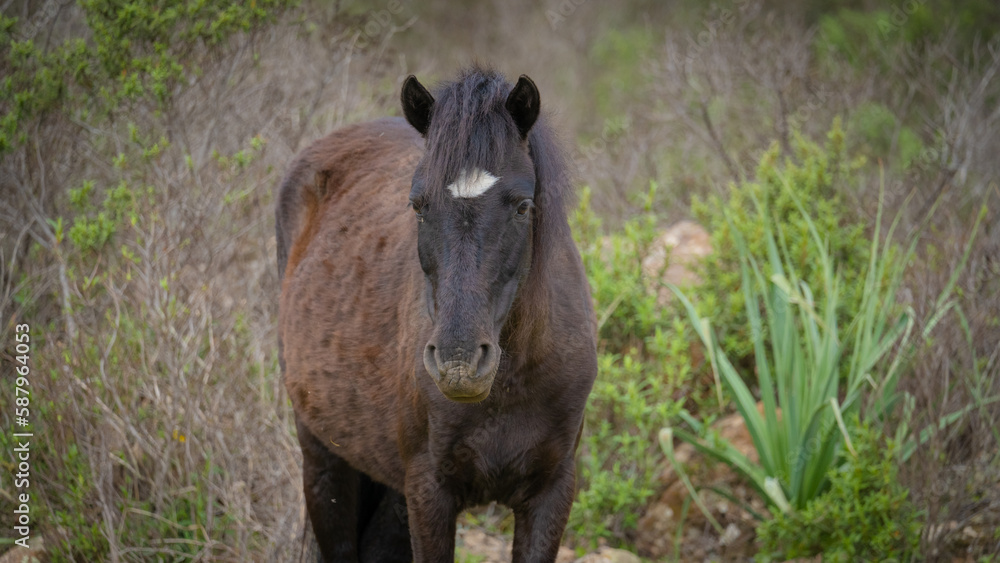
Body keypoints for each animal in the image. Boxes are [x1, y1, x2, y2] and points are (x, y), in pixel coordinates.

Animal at [275, 66, 597, 562]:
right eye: (419, 205)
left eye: (523, 206)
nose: (458, 363)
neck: (513, 380)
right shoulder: (429, 491)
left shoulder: (552, 492)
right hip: (324, 461)